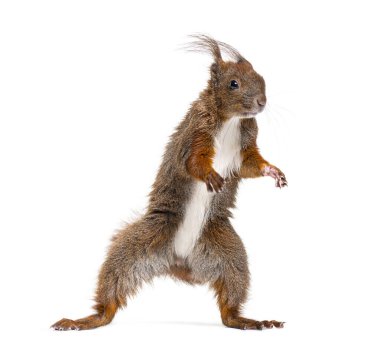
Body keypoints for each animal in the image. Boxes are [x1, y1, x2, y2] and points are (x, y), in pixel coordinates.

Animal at [52, 34, 286, 332]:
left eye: (261, 76)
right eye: (233, 83)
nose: (261, 101)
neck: (231, 120)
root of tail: (179, 262)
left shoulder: (245, 146)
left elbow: (250, 165)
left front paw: (274, 171)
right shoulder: (196, 134)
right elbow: (193, 163)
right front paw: (210, 175)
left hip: (230, 255)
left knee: (230, 304)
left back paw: (248, 320)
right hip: (136, 244)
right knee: (110, 295)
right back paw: (85, 320)